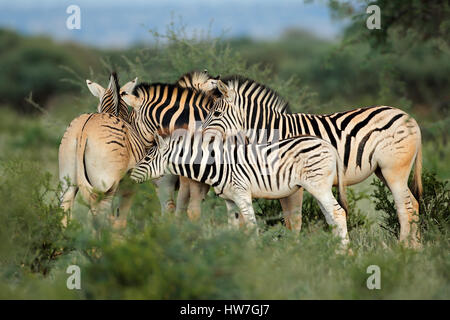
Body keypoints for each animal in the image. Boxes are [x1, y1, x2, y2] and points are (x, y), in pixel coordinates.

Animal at [58, 72, 145, 228]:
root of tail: (84, 131)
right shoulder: (131, 183)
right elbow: (121, 218)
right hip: (105, 185)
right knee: (100, 216)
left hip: (67, 181)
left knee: (65, 212)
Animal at [130, 130, 352, 248]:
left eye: (147, 158)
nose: (130, 176)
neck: (216, 165)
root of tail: (328, 144)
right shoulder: (229, 200)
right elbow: (233, 226)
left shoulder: (242, 193)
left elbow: (251, 225)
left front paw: (254, 253)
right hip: (318, 188)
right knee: (331, 216)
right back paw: (337, 250)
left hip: (318, 185)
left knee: (338, 213)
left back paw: (344, 253)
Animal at [202, 77, 424, 248]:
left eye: (217, 114)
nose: (202, 138)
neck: (271, 130)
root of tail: (410, 117)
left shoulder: (293, 181)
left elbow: (294, 220)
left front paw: (293, 251)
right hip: (384, 171)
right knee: (413, 203)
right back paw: (416, 248)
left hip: (393, 170)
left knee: (405, 207)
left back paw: (403, 248)